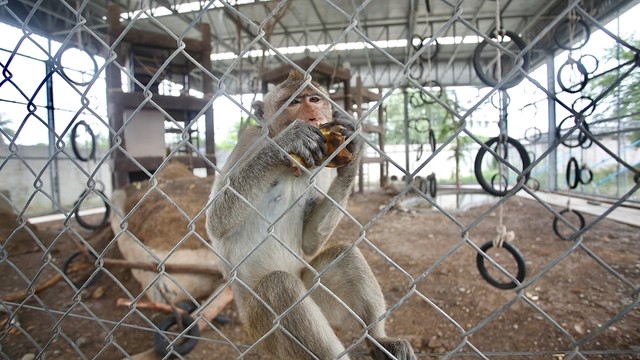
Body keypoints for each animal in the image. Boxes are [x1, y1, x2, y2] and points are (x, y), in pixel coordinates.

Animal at [205, 71, 416, 360]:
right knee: (279, 286)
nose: (313, 116)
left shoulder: (322, 168)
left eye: (314, 99)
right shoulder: (249, 140)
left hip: (317, 297)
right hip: (263, 330)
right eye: (294, 102)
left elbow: (310, 241)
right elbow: (216, 221)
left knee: (343, 255)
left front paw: (353, 146)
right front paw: (288, 141)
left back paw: (378, 339)